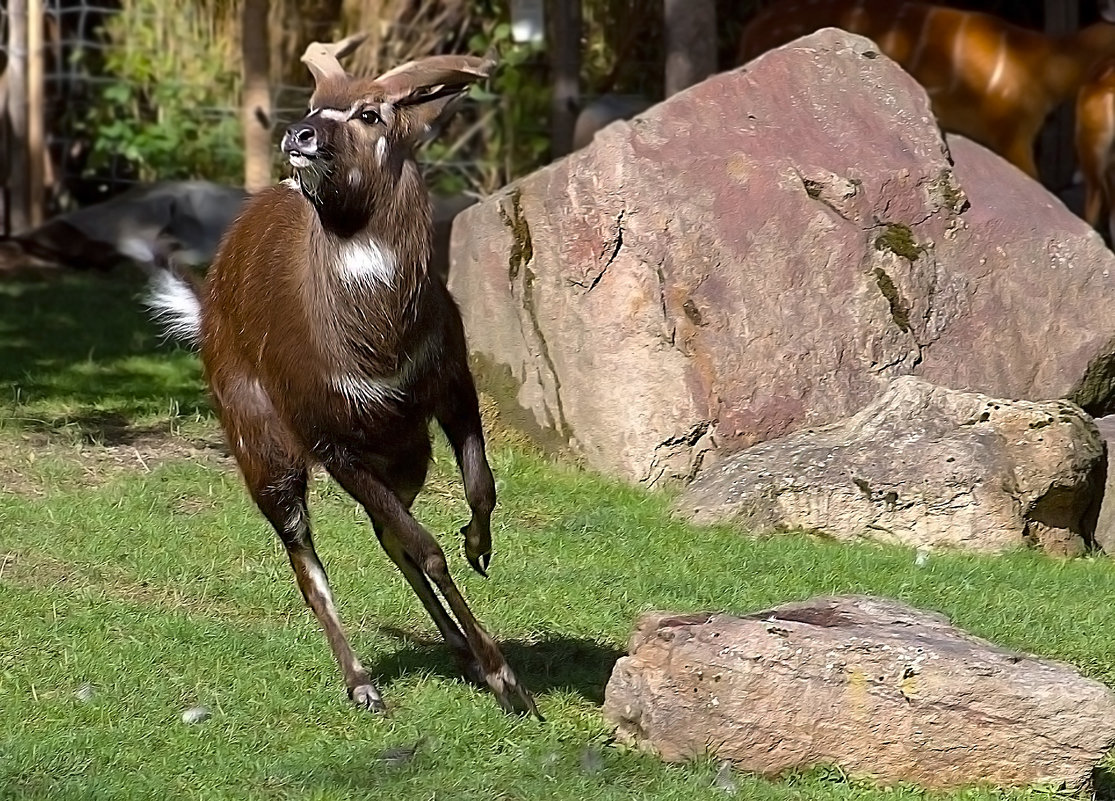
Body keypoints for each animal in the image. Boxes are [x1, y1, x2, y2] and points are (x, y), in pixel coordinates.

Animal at [144, 39, 539, 722]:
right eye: (314, 102)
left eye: (371, 113)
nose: (297, 135)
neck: (377, 339)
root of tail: (207, 307)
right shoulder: (329, 440)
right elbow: (427, 547)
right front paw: (508, 680)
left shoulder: (450, 386)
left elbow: (478, 491)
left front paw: (479, 551)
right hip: (266, 450)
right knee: (307, 556)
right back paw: (364, 684)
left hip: (406, 452)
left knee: (387, 536)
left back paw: (456, 652)